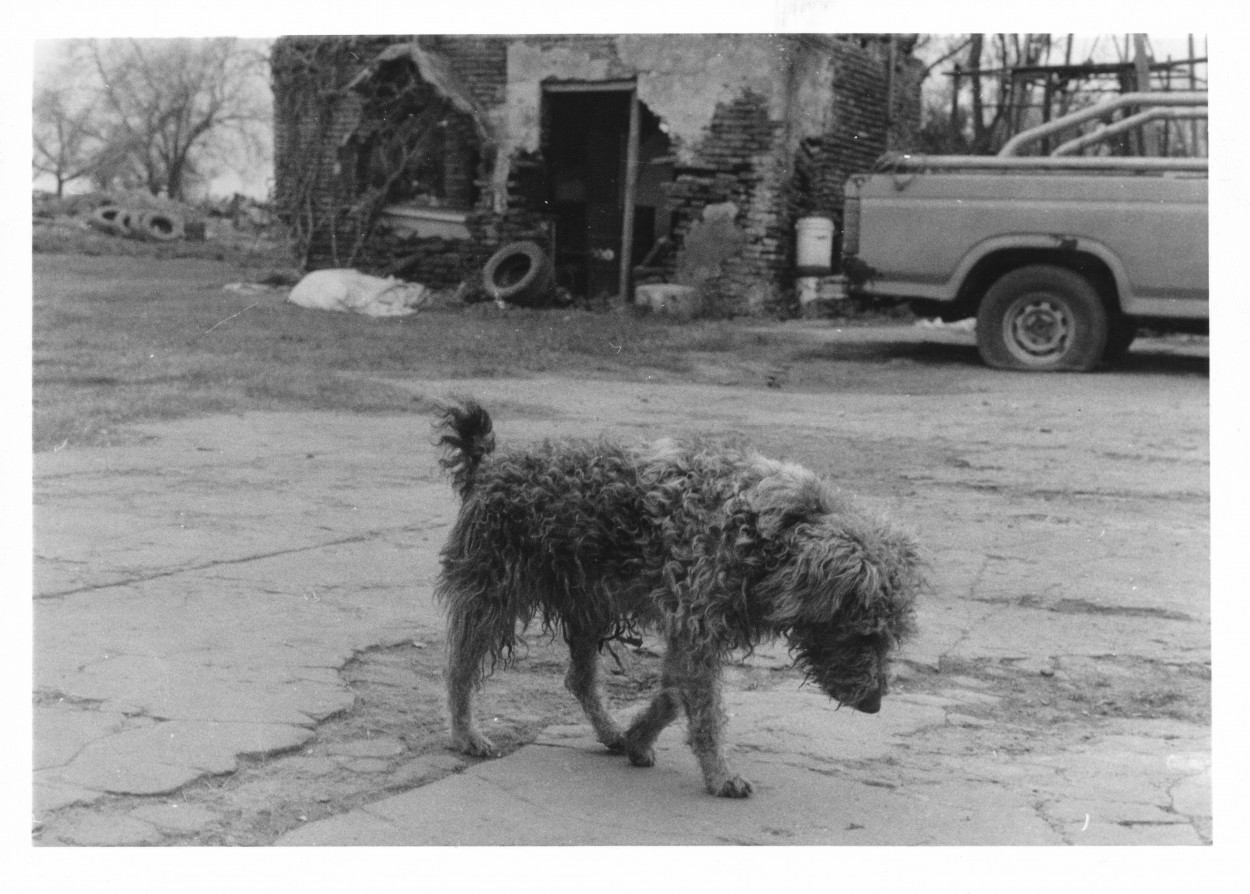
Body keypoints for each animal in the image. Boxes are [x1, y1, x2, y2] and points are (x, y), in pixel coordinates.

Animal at [435, 397, 925, 795]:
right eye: (863, 633)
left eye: (887, 637)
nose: (874, 704)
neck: (774, 537)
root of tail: (489, 466)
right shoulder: (698, 628)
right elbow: (703, 711)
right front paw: (720, 775)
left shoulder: (690, 630)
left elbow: (673, 695)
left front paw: (637, 740)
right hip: (492, 594)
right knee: (459, 669)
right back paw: (466, 735)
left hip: (588, 604)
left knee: (579, 680)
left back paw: (611, 732)